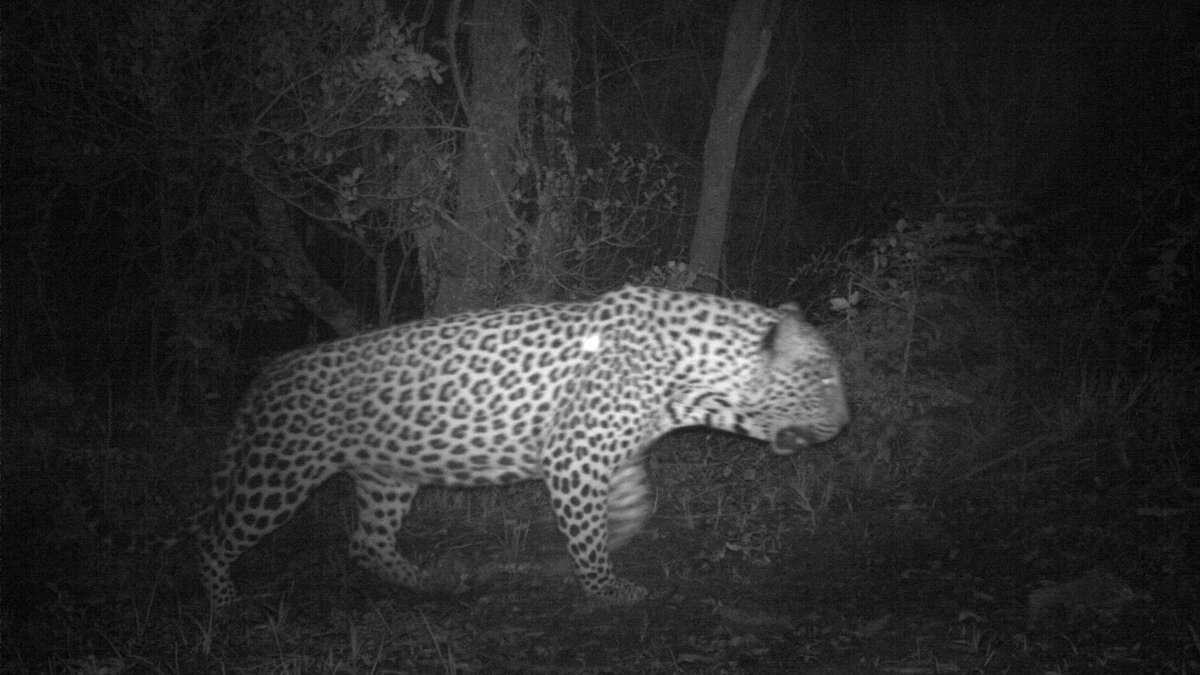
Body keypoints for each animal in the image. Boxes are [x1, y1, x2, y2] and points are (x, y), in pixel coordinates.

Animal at [173, 285, 848, 606]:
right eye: (824, 379)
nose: (845, 424)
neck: (697, 379)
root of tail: (273, 368)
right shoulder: (575, 456)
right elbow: (586, 531)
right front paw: (603, 588)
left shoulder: (617, 457)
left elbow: (633, 507)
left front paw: (614, 546)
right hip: (281, 469)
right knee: (214, 531)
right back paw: (224, 603)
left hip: (388, 475)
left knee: (368, 541)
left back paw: (430, 584)